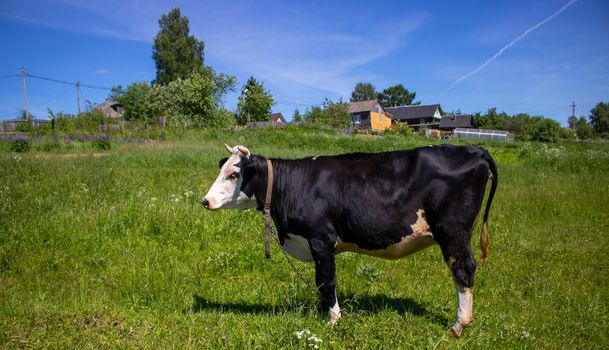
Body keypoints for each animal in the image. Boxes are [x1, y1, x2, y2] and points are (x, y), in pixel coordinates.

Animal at [202, 144, 496, 338]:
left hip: (453, 233)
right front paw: (323, 313)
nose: (205, 201)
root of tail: (472, 148)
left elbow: (327, 280)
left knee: (463, 271)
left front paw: (333, 320)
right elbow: (320, 282)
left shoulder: (321, 240)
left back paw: (459, 325)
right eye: (222, 171)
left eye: (233, 174)